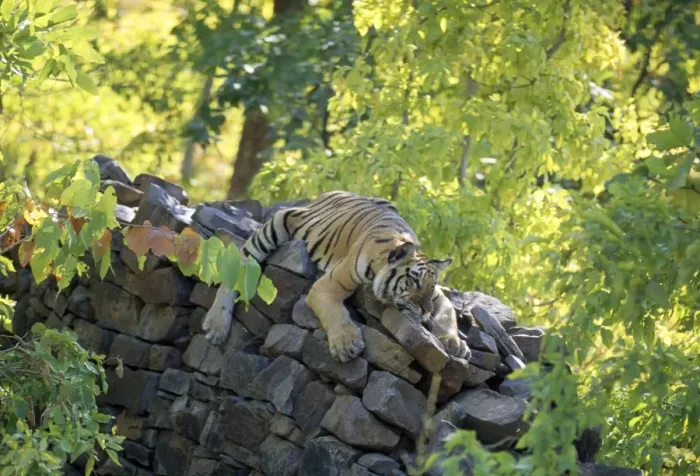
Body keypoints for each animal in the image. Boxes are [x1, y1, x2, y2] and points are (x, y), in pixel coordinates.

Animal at [202, 191, 470, 363]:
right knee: (236, 271)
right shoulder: (328, 285)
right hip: (275, 227)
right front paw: (346, 344)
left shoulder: (440, 297)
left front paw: (455, 344)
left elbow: (448, 315)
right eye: (414, 281)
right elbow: (336, 314)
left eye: (430, 287)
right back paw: (216, 326)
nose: (425, 311)